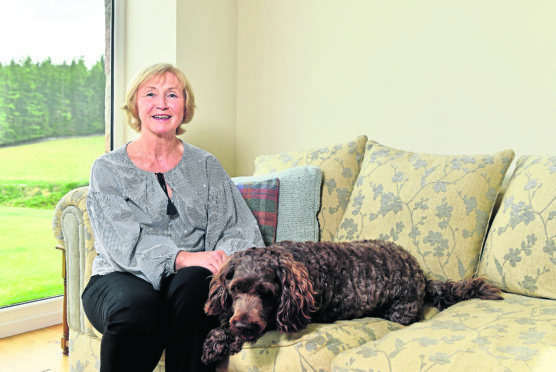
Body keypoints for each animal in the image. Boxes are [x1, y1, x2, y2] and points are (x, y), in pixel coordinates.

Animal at [201, 240, 504, 364]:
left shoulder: (290, 317)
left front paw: (223, 340)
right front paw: (218, 336)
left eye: (266, 293)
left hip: (401, 311)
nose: (242, 326)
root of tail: (421, 274)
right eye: (235, 289)